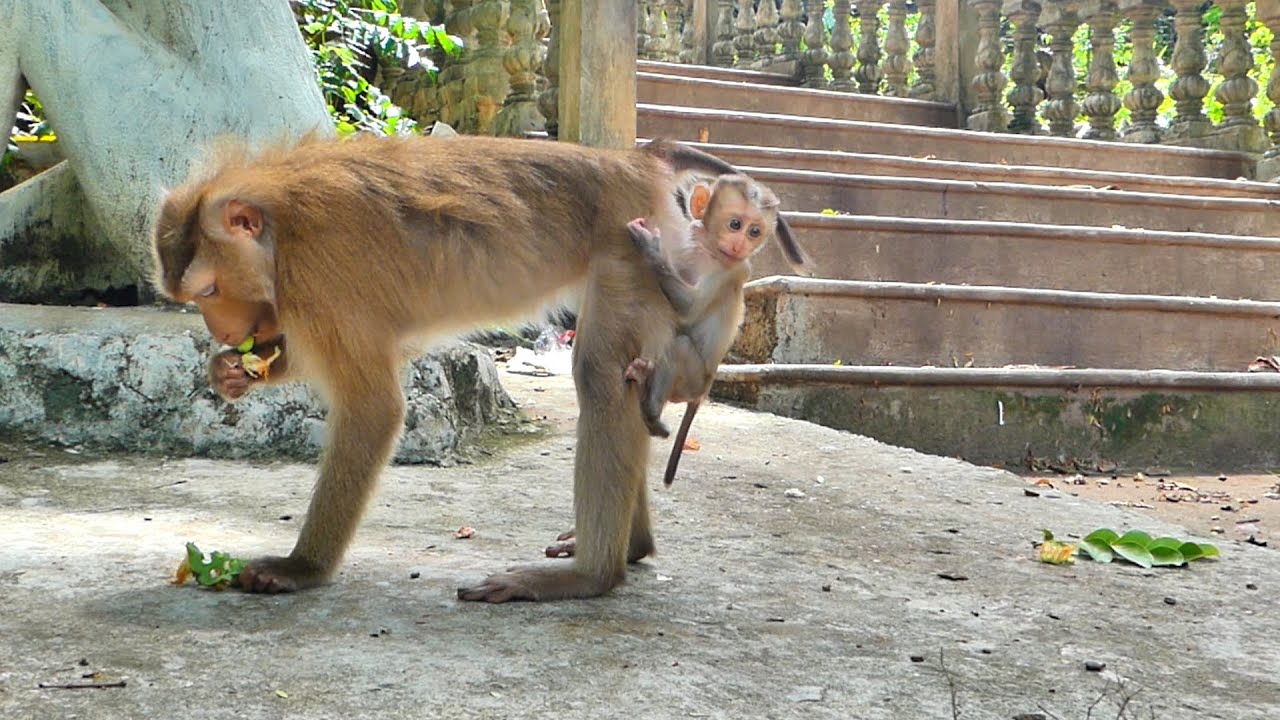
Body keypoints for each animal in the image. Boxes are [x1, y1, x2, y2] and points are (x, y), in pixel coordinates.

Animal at [153, 133, 759, 601]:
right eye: (196, 298)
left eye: (209, 290)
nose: (221, 331)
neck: (280, 230)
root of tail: (635, 162)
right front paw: (230, 372)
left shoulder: (317, 280)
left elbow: (374, 408)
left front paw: (302, 568)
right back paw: (632, 548)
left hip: (632, 246)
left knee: (602, 378)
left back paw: (592, 576)